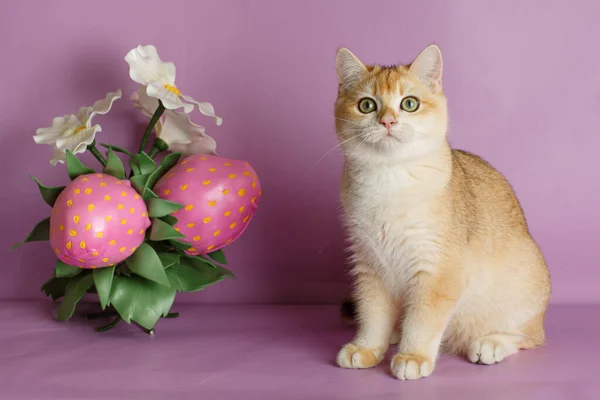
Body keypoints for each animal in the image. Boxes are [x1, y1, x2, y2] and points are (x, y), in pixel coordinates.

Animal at [336, 45, 552, 380]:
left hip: (523, 283)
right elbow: (372, 313)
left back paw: (492, 343)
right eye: (367, 105)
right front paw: (368, 346)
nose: (388, 122)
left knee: (530, 337)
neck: (388, 178)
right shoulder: (369, 266)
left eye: (409, 104)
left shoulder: (437, 270)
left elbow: (423, 319)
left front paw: (413, 356)